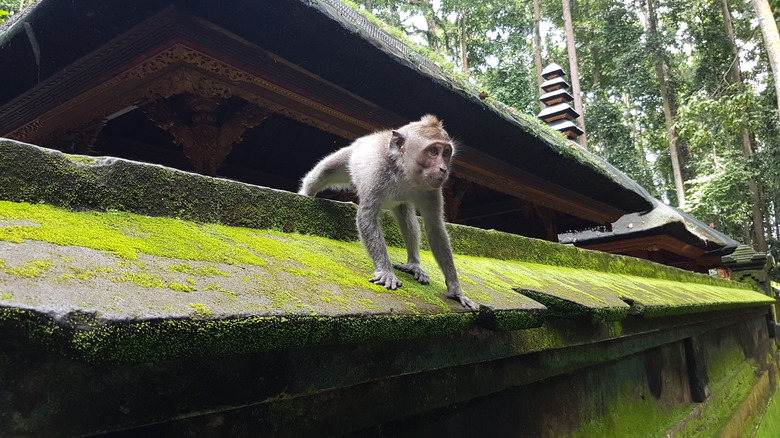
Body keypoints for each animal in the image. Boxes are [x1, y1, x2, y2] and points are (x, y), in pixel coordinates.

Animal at [300, 114, 476, 310]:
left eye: (445, 153)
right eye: (433, 151)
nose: (443, 169)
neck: (405, 175)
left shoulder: (432, 190)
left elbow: (435, 229)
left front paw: (456, 289)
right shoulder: (378, 173)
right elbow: (367, 215)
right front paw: (385, 271)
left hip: (400, 201)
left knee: (406, 215)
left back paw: (413, 264)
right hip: (350, 156)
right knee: (324, 171)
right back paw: (306, 192)